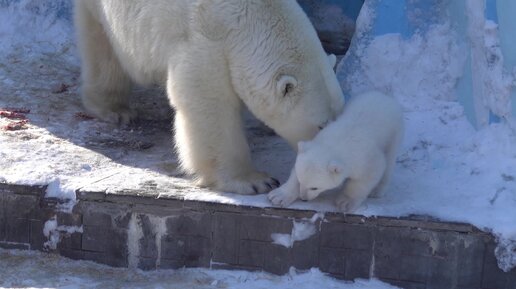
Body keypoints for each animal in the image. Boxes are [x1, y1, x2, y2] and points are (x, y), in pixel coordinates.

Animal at [73, 0, 342, 194]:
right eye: (320, 125)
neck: (251, 18)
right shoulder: (207, 42)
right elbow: (209, 106)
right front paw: (255, 181)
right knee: (103, 41)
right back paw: (115, 109)